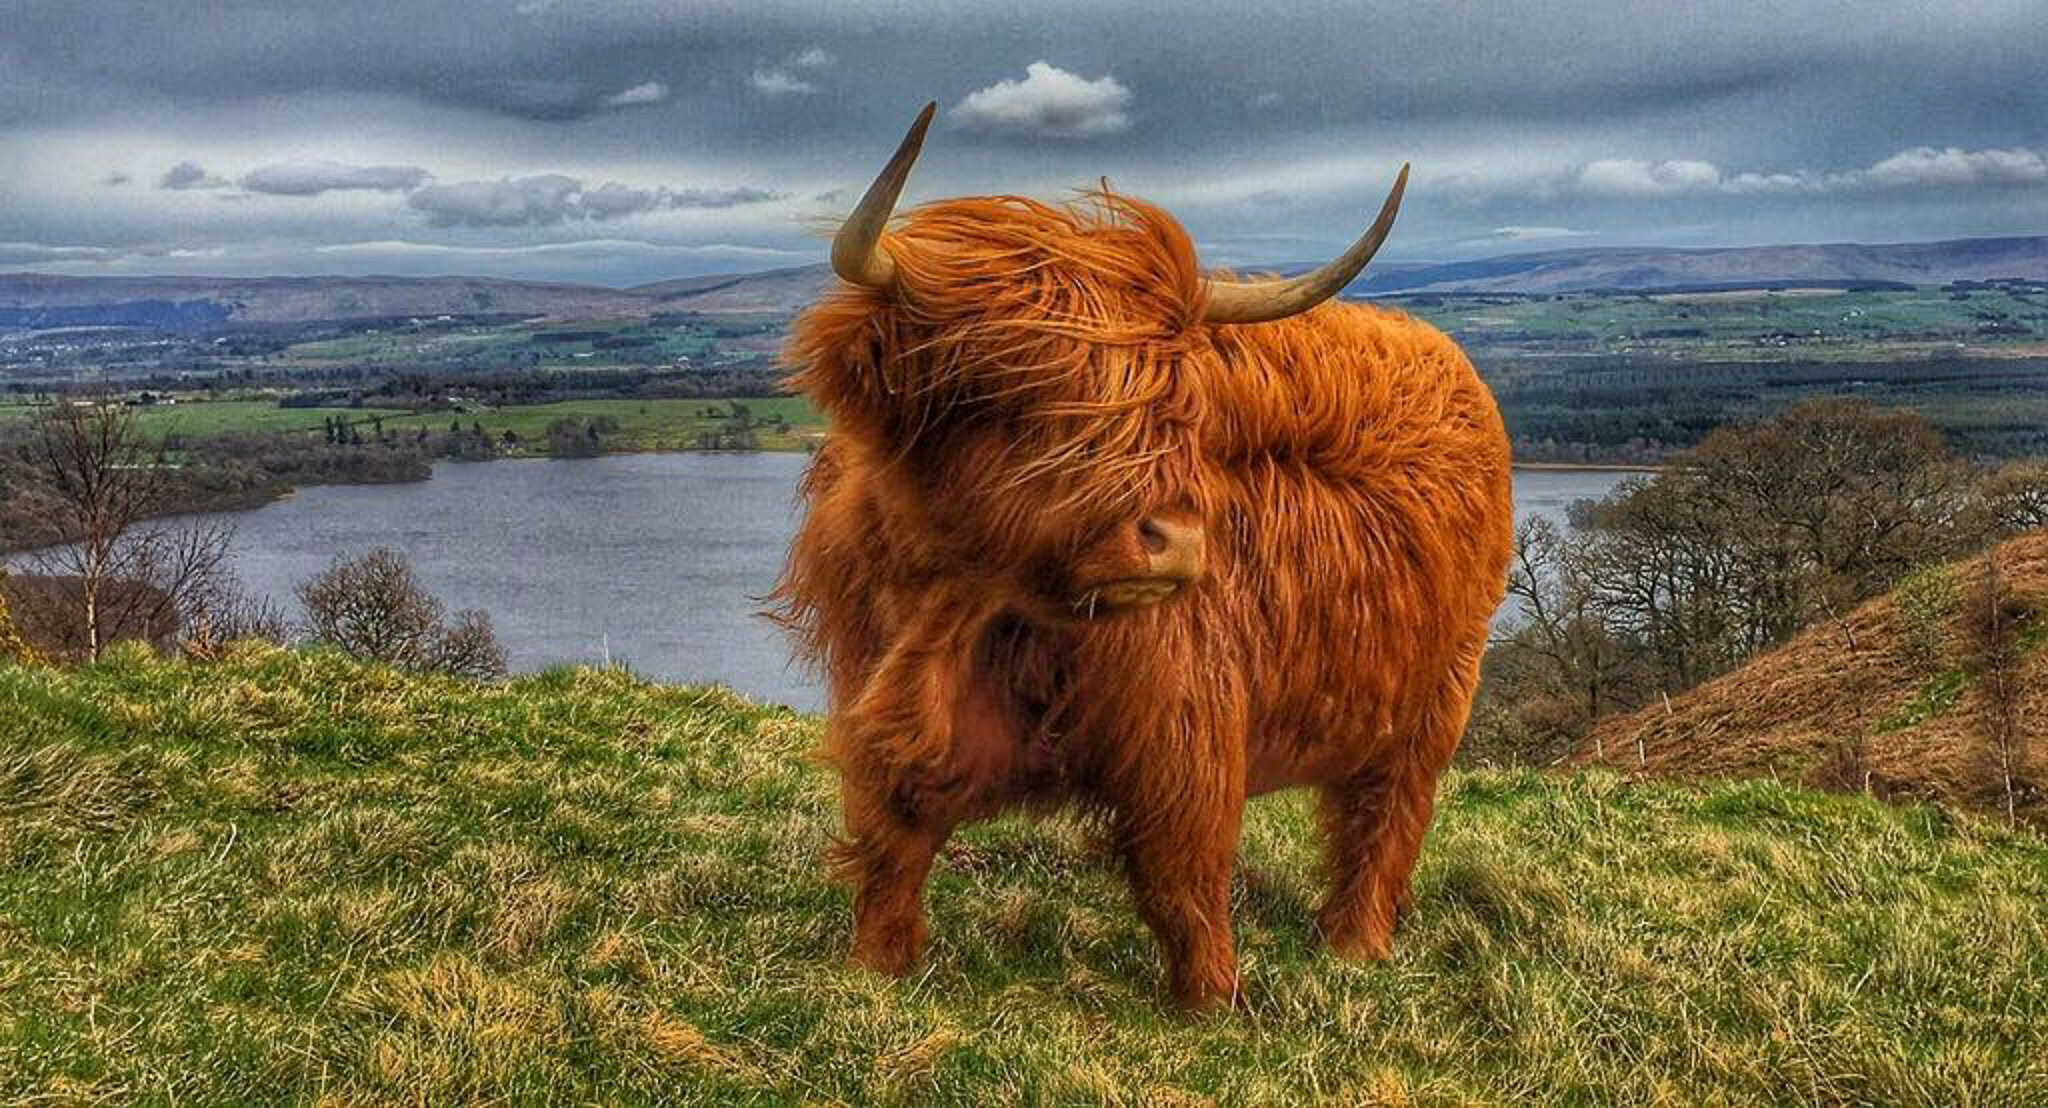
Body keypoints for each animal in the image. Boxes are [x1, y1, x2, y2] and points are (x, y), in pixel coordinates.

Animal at [774, 105, 1515, 1011]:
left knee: (1384, 821)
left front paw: (1214, 1004)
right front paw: (877, 968)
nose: (1177, 540)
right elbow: (892, 842)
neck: (968, 607)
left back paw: (1357, 946)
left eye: (1176, 404)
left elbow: (1182, 877)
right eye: (1009, 396)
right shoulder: (876, 691)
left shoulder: (1185, 728)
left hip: (1436, 696)